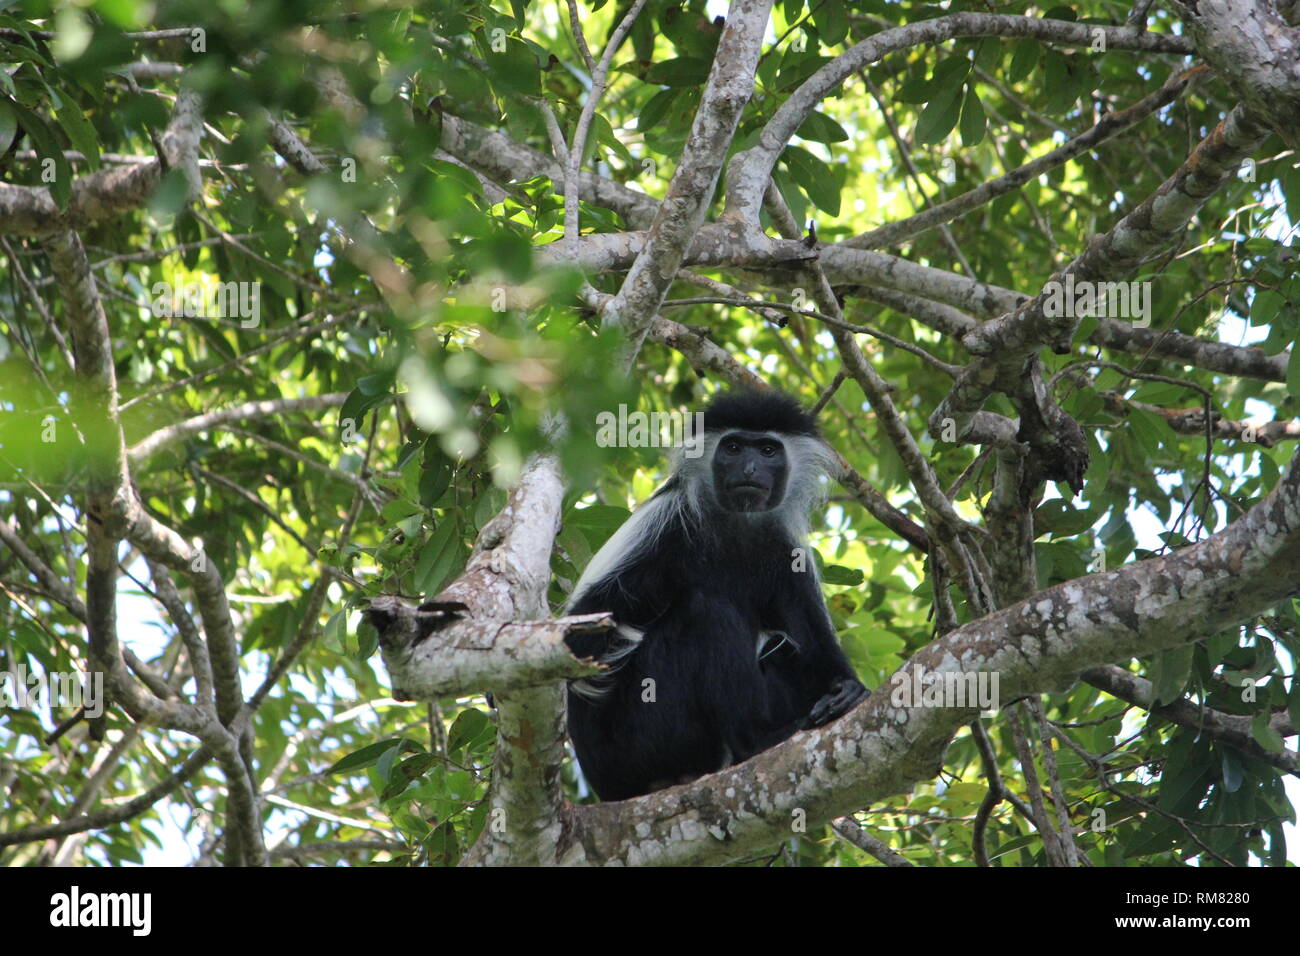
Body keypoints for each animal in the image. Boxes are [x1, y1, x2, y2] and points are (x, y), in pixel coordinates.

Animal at [566, 390, 863, 801]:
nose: (750, 469)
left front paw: (847, 690)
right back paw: (759, 740)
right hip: (639, 735)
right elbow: (580, 634)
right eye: (734, 447)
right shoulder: (664, 526)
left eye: (768, 450)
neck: (737, 524)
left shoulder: (787, 555)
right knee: (704, 611)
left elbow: (814, 642)